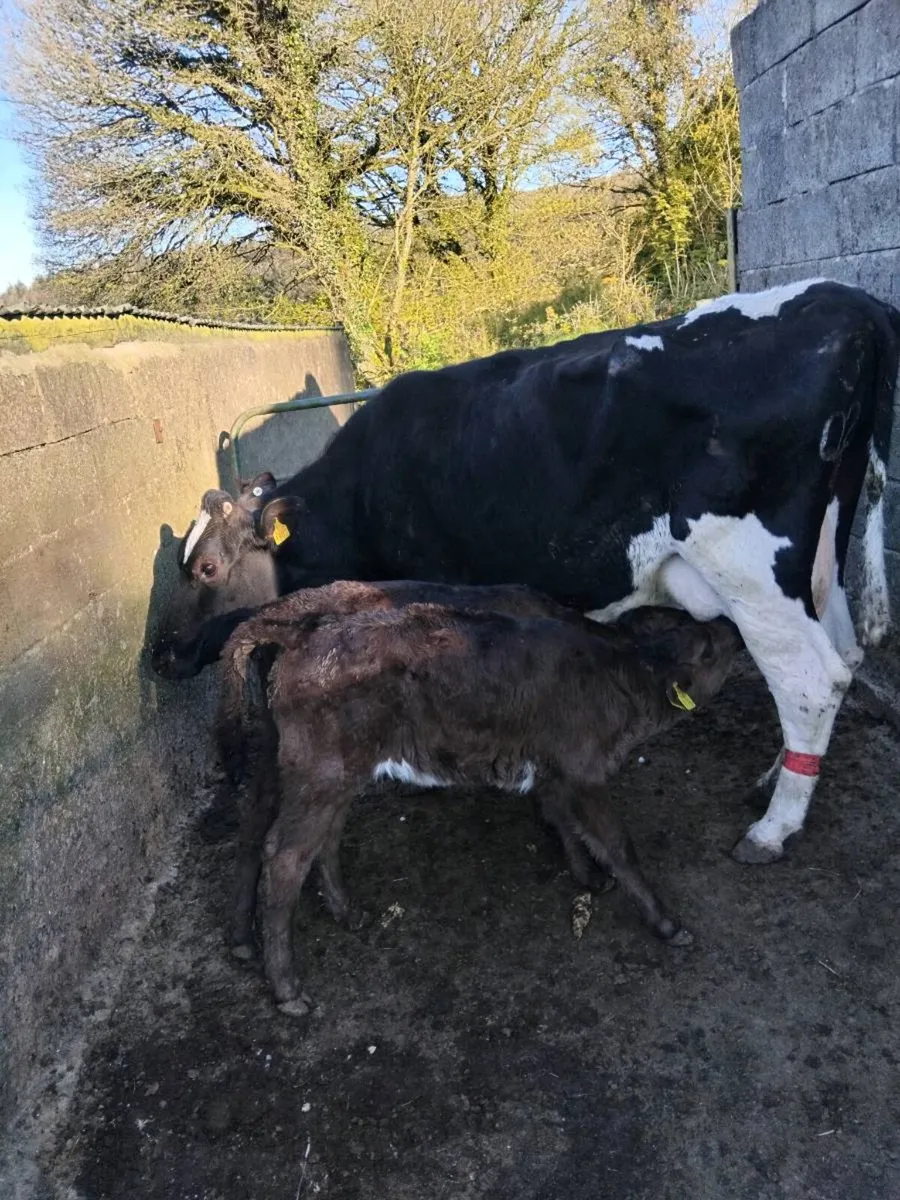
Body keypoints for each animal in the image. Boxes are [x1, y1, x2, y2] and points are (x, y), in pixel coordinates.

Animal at [150, 279, 900, 866]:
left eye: (209, 566)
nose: (161, 655)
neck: (362, 489)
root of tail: (847, 298)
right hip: (820, 559)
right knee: (838, 657)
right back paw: (777, 775)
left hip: (752, 569)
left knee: (810, 677)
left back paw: (774, 827)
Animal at [217, 596, 741, 1014]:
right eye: (706, 649)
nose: (731, 626)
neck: (619, 671)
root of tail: (301, 628)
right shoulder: (585, 770)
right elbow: (618, 846)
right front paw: (666, 922)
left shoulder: (554, 767)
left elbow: (563, 819)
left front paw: (587, 877)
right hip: (320, 773)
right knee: (285, 856)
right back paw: (287, 989)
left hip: (337, 772)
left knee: (320, 838)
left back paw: (345, 913)